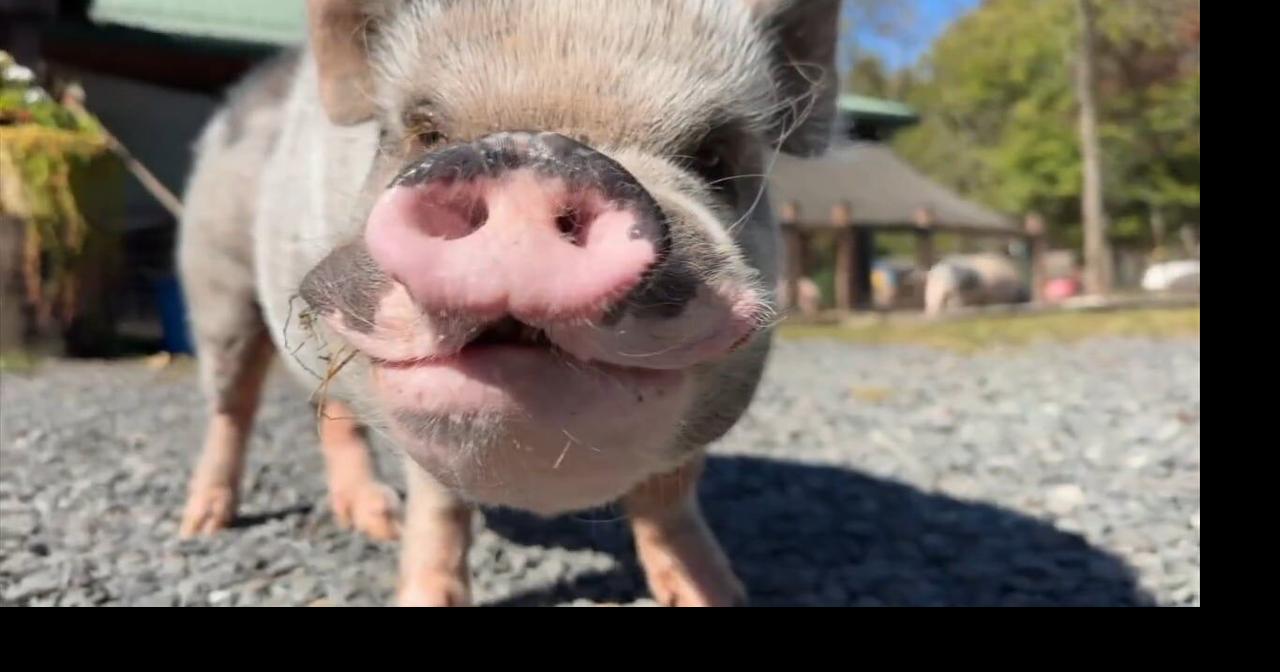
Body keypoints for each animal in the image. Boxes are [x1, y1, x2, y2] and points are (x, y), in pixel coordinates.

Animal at [175, 0, 842, 606]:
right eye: (424, 132)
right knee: (232, 402)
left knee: (330, 412)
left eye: (715, 156)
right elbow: (440, 509)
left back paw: (372, 520)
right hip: (212, 272)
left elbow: (670, 499)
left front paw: (718, 595)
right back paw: (203, 524)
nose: (538, 156)